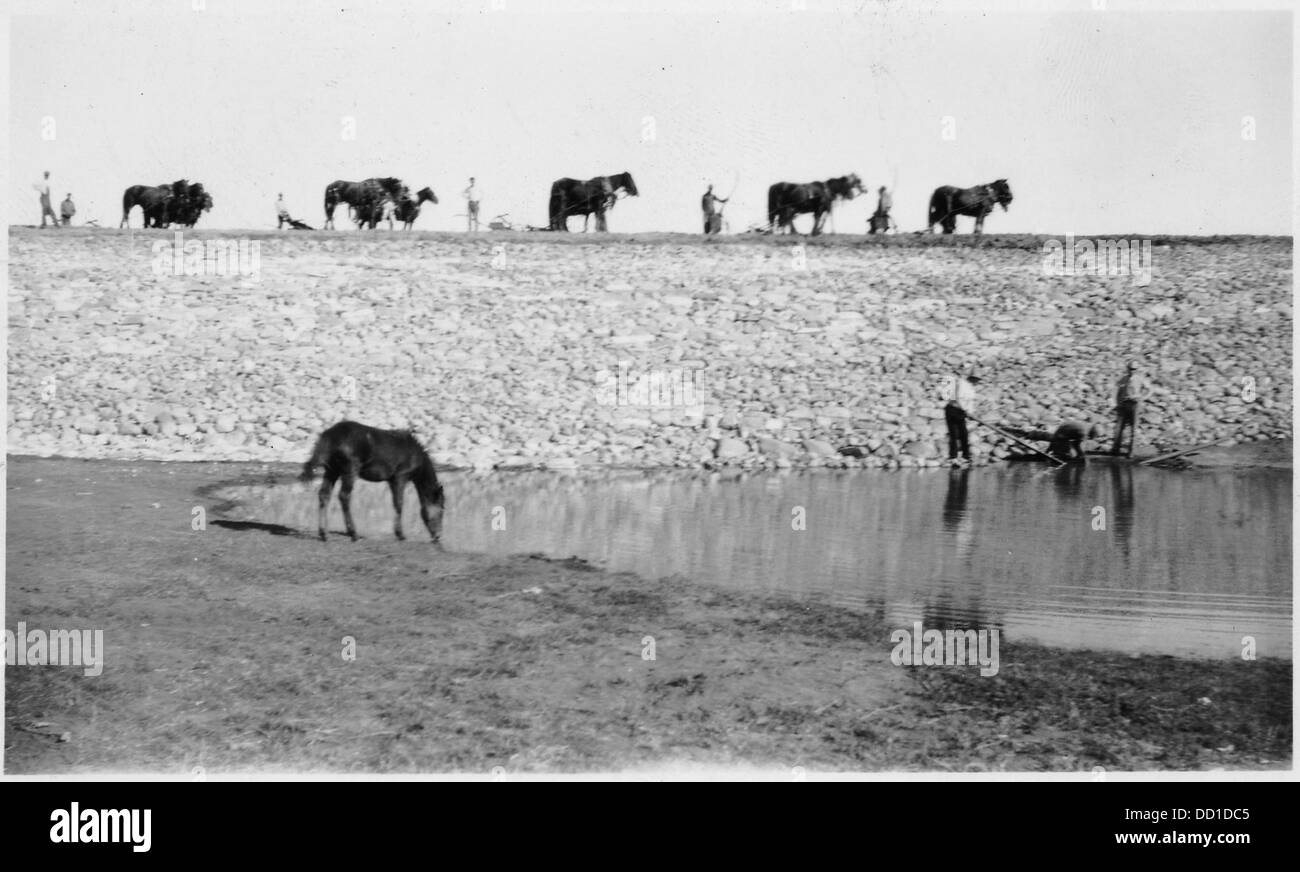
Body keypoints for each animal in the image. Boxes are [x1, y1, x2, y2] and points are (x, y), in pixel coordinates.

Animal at [299, 418, 447, 543]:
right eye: (441, 511)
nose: (438, 536)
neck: (416, 456)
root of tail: (331, 435)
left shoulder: (391, 480)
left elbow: (396, 503)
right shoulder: (400, 477)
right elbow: (399, 503)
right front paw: (400, 534)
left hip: (332, 470)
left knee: (324, 494)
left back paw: (324, 534)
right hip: (350, 469)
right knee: (344, 496)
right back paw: (353, 533)